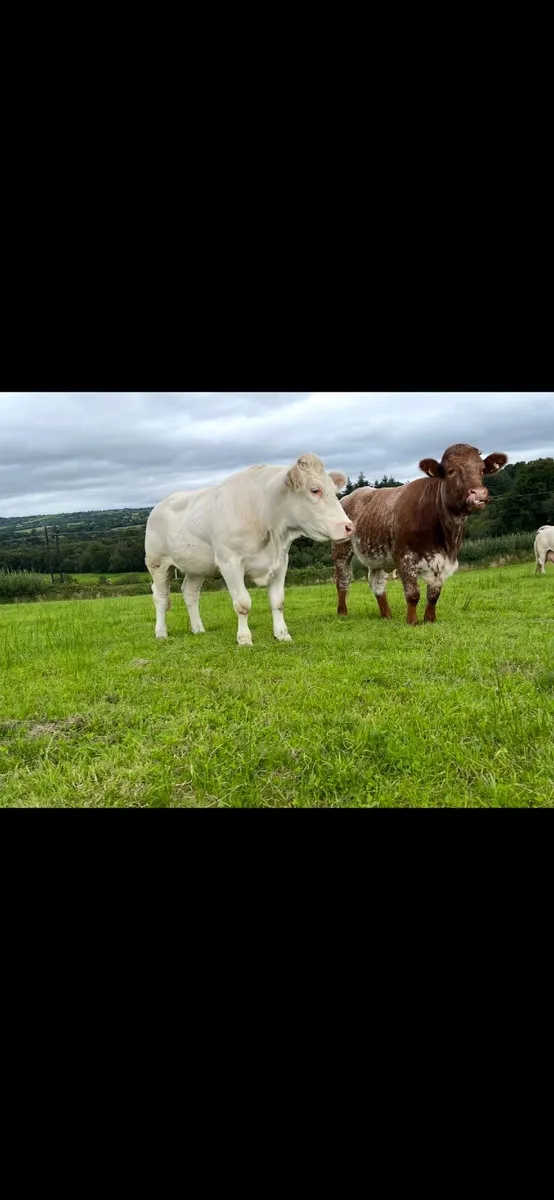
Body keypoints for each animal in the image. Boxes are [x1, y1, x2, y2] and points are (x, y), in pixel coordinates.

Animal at [145, 453, 354, 646]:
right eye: (315, 489)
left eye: (334, 490)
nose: (349, 526)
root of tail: (160, 505)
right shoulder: (230, 563)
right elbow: (243, 603)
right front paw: (244, 639)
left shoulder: (281, 562)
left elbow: (278, 601)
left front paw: (282, 634)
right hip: (158, 563)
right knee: (161, 597)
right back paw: (161, 633)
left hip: (196, 567)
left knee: (190, 594)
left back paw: (198, 629)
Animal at [333, 444, 508, 626]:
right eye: (451, 471)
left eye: (482, 469)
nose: (479, 494)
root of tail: (350, 495)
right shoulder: (404, 557)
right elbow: (413, 593)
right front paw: (412, 621)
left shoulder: (443, 561)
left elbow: (434, 594)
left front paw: (430, 619)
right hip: (341, 549)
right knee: (342, 579)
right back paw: (343, 612)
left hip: (376, 555)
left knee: (377, 582)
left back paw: (386, 615)